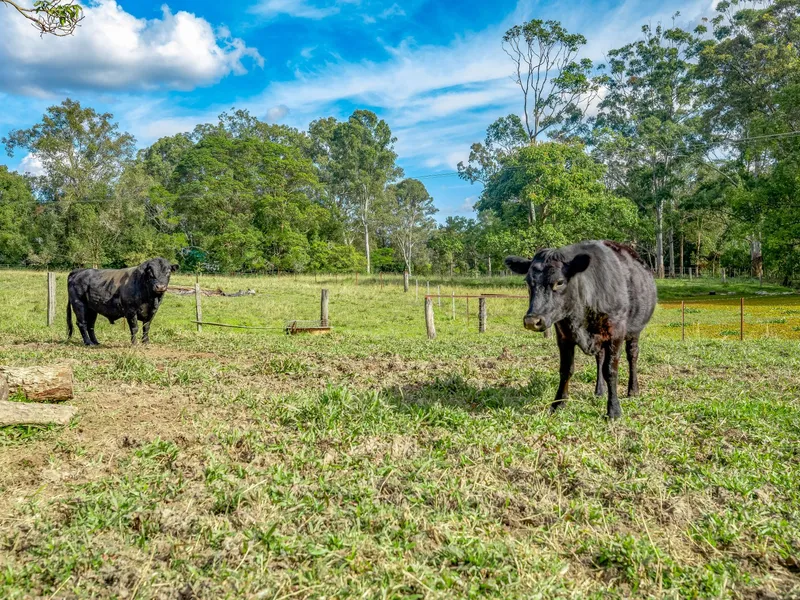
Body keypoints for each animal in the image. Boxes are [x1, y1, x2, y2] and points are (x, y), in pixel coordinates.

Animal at [505, 240, 656, 420]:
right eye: (528, 282)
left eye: (560, 282)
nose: (531, 321)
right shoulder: (563, 335)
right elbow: (566, 370)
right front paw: (558, 404)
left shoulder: (616, 333)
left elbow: (610, 370)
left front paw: (614, 410)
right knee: (600, 358)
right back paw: (599, 391)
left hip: (634, 331)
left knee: (632, 355)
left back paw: (633, 390)